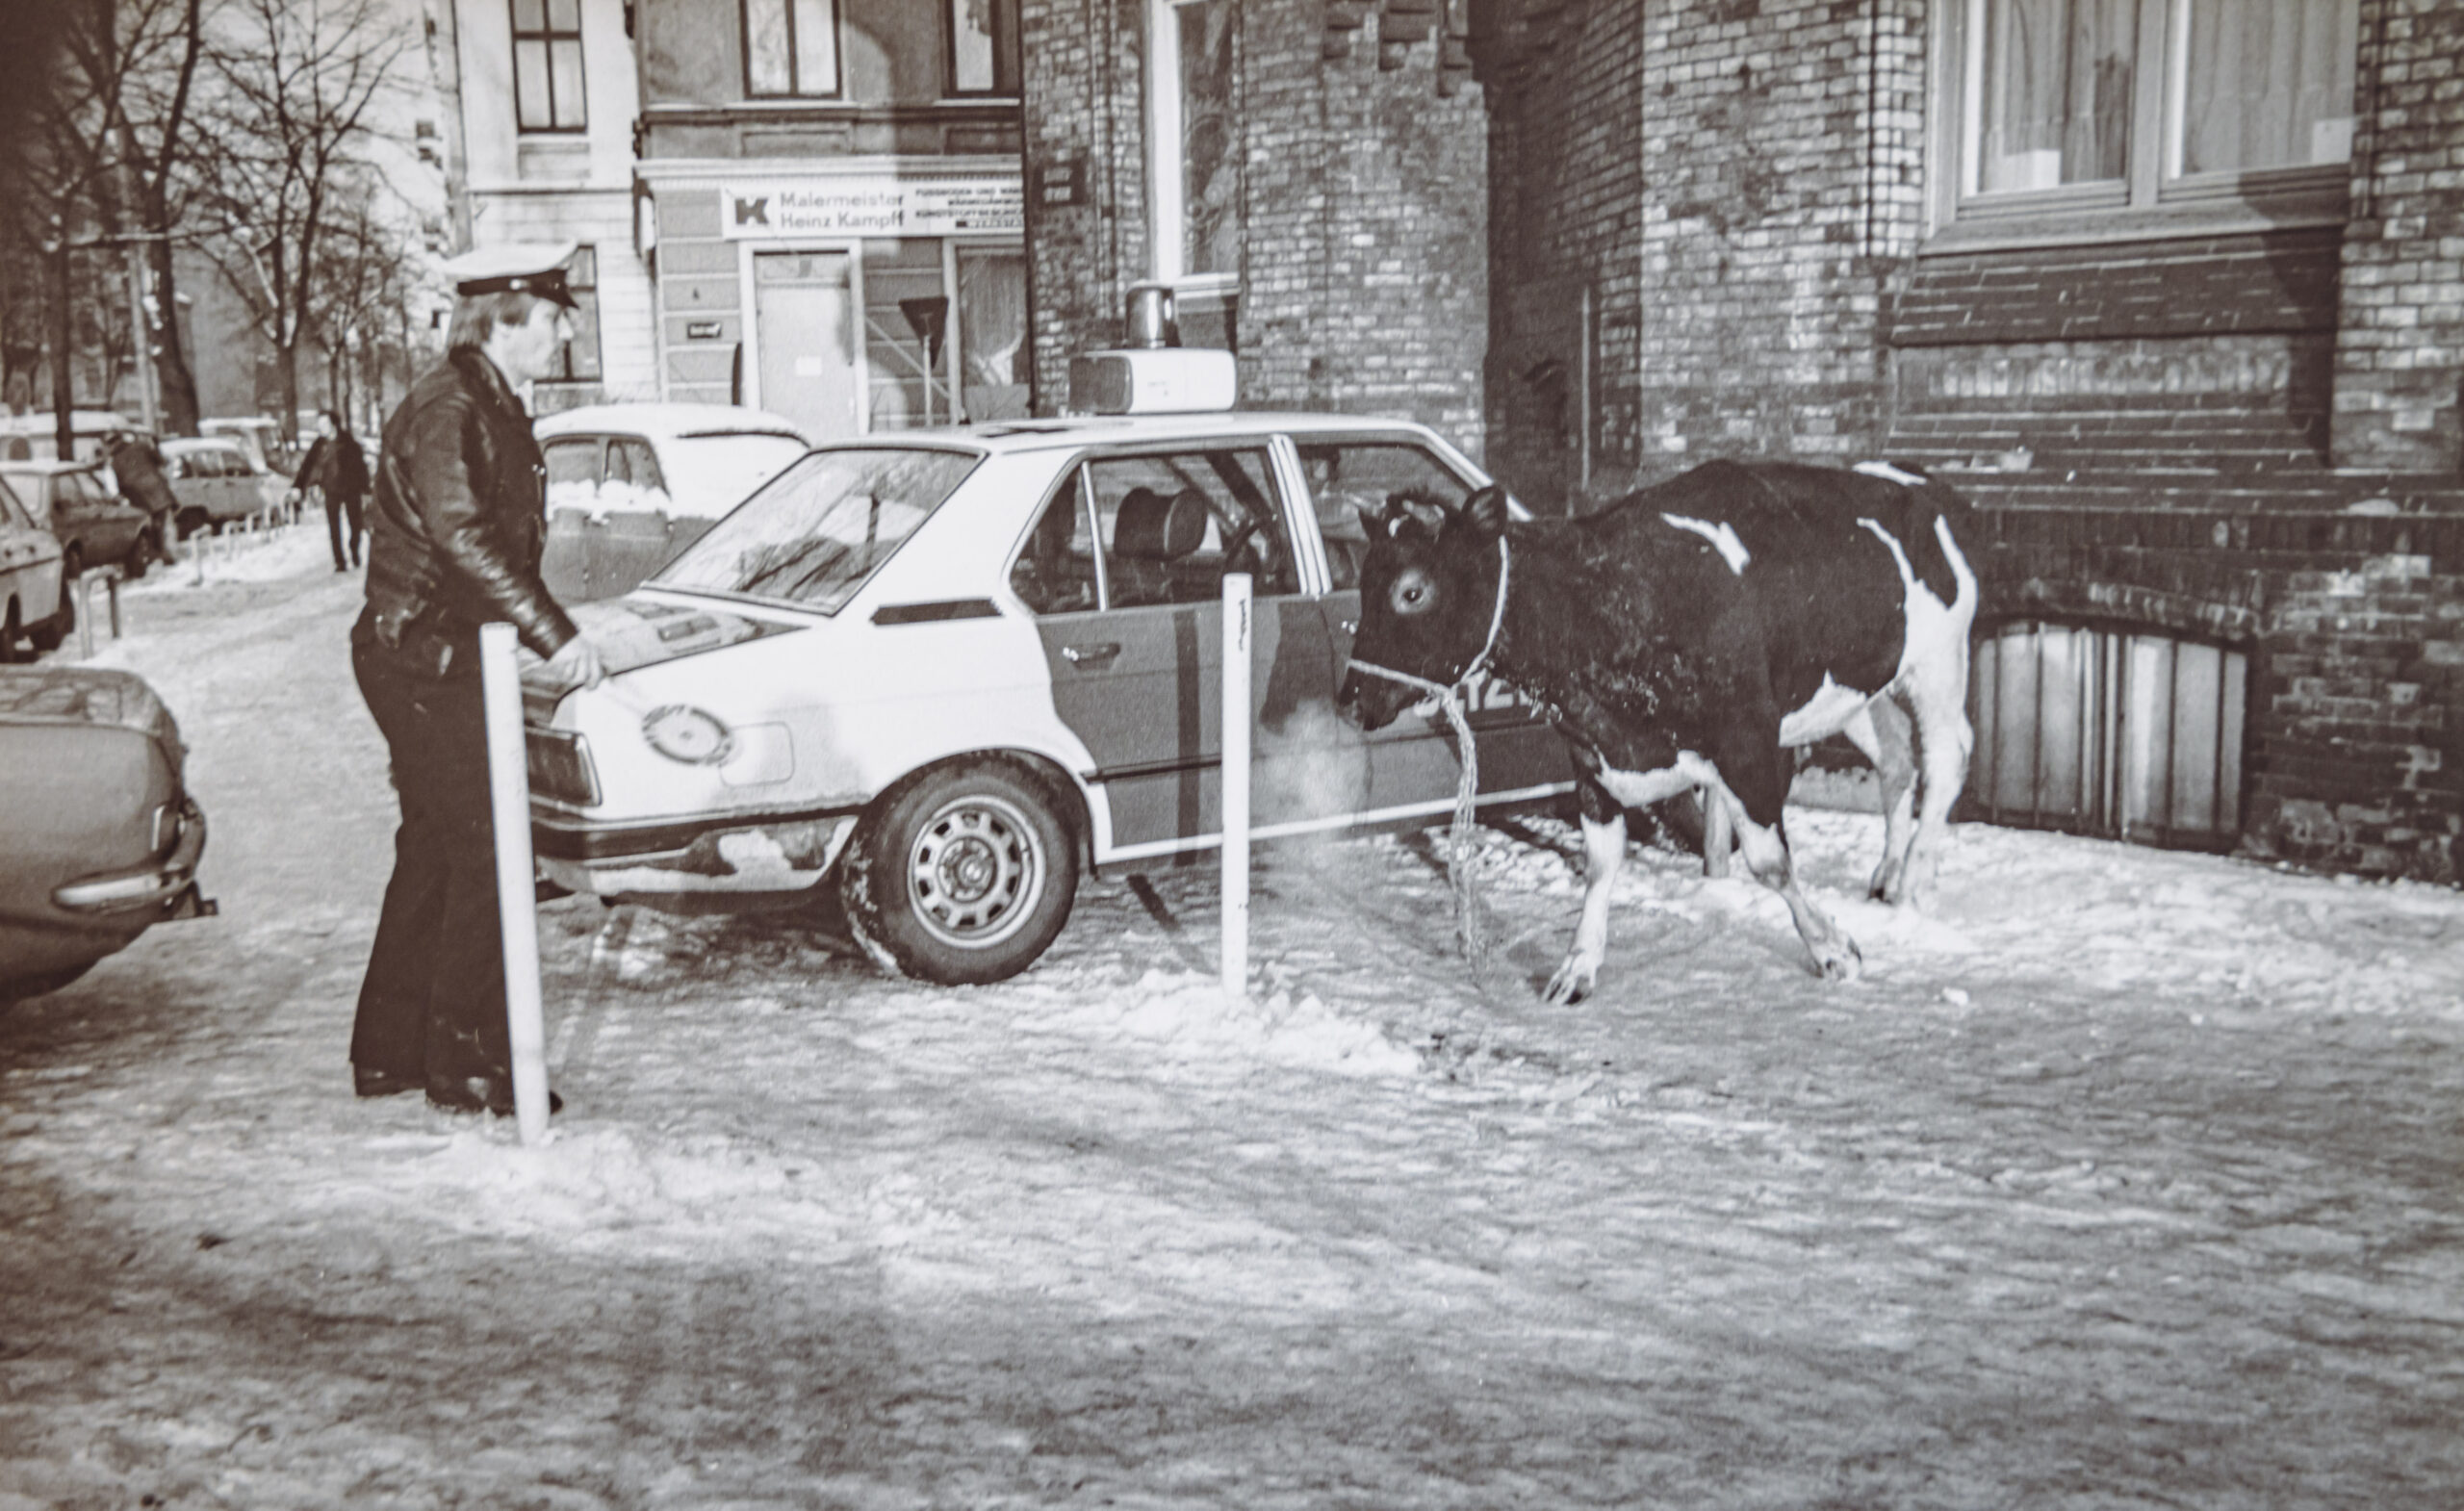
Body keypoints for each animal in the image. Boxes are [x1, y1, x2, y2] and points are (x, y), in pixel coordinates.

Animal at [1330, 458, 1981, 1000]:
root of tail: (1927, 482)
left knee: (1947, 759)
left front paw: (1832, 949)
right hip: (1865, 688)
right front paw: (1577, 968)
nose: (1351, 700)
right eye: (1363, 583)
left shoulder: (1746, 740)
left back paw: (1913, 885)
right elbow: (1600, 864)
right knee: (1896, 761)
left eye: (1413, 590)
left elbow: (1771, 860)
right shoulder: (1590, 753)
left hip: (1939, 660)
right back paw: (1888, 874)